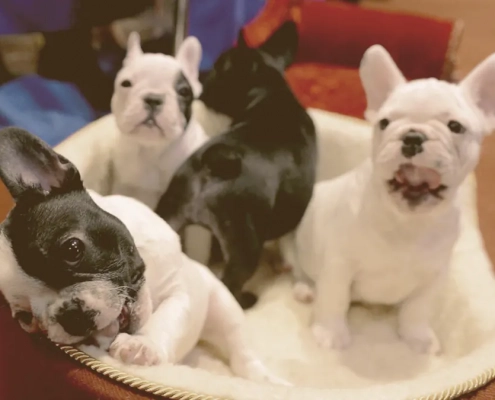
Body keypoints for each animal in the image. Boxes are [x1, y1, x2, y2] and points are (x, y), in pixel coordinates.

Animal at [0, 126, 286, 386]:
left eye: (72, 249)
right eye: (26, 319)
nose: (71, 316)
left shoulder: (182, 288)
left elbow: (169, 318)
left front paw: (142, 344)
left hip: (224, 306)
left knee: (240, 349)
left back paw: (266, 381)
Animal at [155, 21, 318, 310]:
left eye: (217, 69)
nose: (202, 78)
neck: (270, 92)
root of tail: (214, 162)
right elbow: (291, 247)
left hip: (169, 213)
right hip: (245, 245)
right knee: (229, 285)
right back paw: (245, 302)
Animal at [280, 45, 495, 354]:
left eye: (456, 126)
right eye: (384, 123)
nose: (413, 136)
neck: (407, 222)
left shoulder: (433, 275)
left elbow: (418, 309)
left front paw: (417, 336)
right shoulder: (339, 265)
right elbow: (334, 299)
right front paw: (331, 333)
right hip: (293, 245)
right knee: (299, 270)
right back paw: (306, 289)